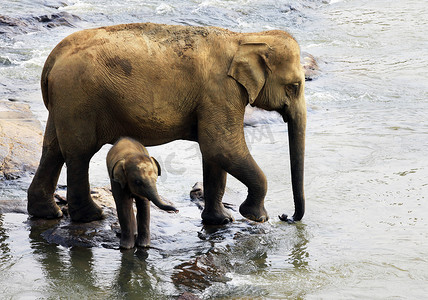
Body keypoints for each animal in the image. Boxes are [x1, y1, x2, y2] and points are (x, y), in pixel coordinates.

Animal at [26, 22, 306, 225]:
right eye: (294, 86)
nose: (286, 216)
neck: (244, 38)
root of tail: (52, 58)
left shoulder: (216, 98)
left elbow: (213, 153)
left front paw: (220, 221)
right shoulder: (221, 92)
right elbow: (221, 147)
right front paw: (256, 217)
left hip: (64, 102)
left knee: (53, 149)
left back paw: (47, 213)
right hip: (78, 97)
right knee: (79, 153)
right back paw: (93, 216)